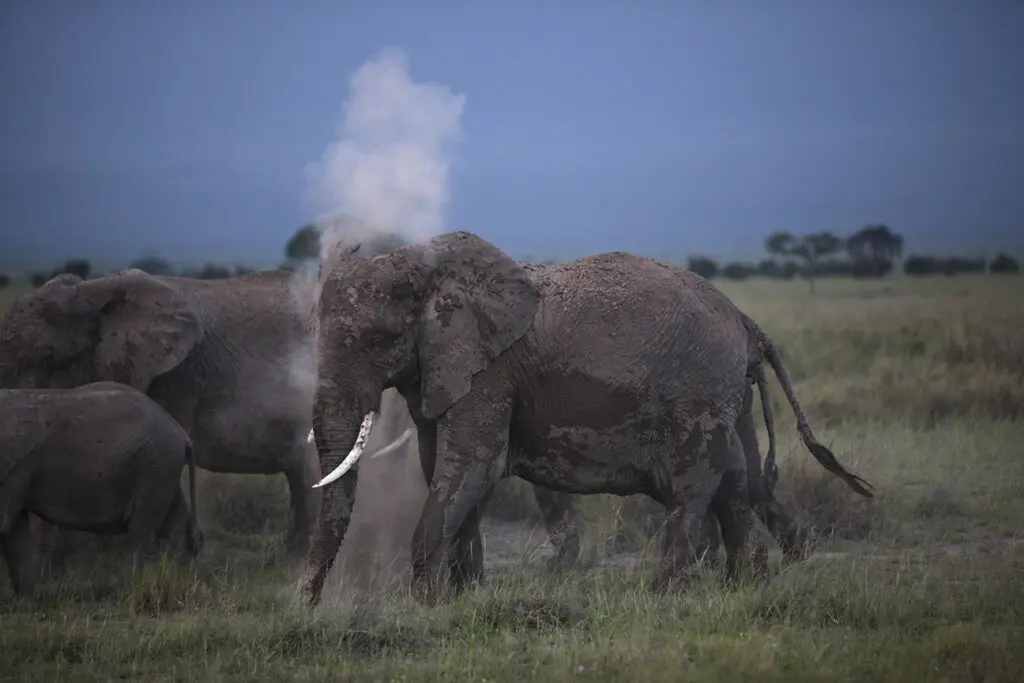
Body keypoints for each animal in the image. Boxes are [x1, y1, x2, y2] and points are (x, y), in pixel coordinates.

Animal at [0, 382, 202, 596]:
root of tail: (181, 432)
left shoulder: (18, 464)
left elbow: (4, 523)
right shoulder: (20, 465)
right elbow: (14, 532)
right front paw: (25, 602)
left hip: (156, 465)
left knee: (141, 532)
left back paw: (129, 593)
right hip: (163, 469)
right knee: (174, 524)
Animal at [301, 231, 873, 607]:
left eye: (375, 341)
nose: (307, 605)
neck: (421, 265)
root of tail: (745, 320)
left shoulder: (490, 370)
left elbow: (469, 466)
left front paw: (425, 606)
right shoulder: (439, 370)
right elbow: (446, 470)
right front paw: (462, 599)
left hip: (697, 389)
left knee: (694, 482)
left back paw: (666, 595)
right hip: (719, 393)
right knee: (733, 477)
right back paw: (743, 586)